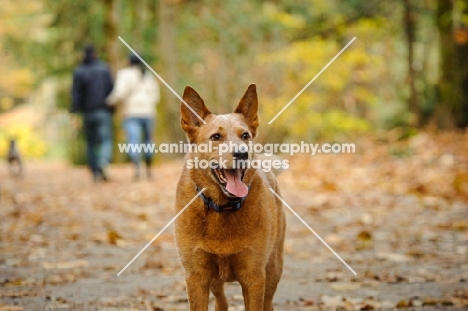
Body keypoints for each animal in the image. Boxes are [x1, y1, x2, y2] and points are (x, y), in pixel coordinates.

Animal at [175, 84, 286, 310]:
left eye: (245, 135)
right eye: (216, 137)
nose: (242, 154)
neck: (222, 208)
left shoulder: (254, 277)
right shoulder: (196, 277)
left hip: (273, 268)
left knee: (268, 301)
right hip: (215, 279)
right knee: (222, 301)